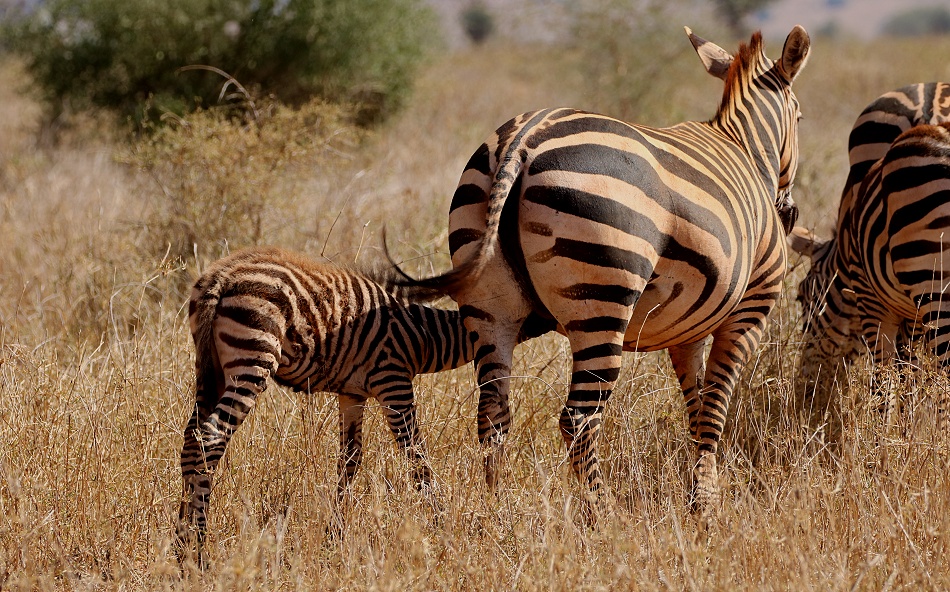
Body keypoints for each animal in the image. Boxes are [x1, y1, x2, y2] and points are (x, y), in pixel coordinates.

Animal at [176, 246, 477, 563]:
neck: (422, 334)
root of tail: (222, 276)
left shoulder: (352, 394)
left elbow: (350, 459)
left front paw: (333, 536)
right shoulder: (393, 381)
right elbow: (416, 455)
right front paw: (443, 528)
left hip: (211, 369)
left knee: (191, 441)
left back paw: (181, 544)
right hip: (252, 359)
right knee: (211, 436)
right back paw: (198, 549)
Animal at [390, 26, 810, 517]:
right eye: (801, 117)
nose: (789, 214)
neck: (743, 147)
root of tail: (522, 141)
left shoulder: (687, 331)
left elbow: (697, 403)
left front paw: (698, 489)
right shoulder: (747, 314)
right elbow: (715, 405)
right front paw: (706, 502)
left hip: (489, 304)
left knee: (493, 414)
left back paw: (497, 513)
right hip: (603, 300)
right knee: (578, 418)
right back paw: (602, 515)